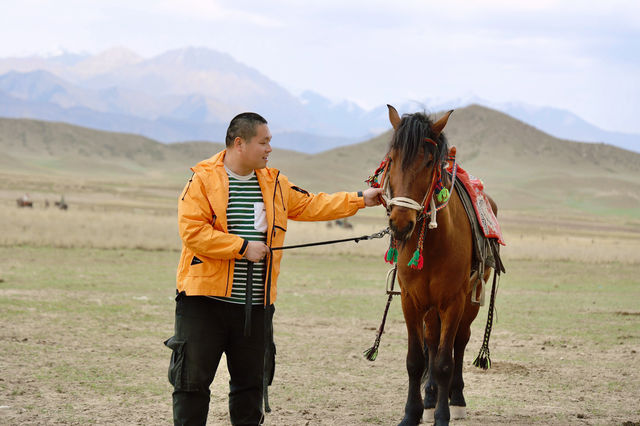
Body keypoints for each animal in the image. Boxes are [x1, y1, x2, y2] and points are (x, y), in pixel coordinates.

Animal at [380, 104, 500, 426]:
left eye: (428, 162)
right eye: (392, 159)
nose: (400, 224)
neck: (432, 245)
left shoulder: (453, 301)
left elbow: (446, 361)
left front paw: (443, 415)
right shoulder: (410, 300)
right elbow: (415, 360)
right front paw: (412, 413)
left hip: (470, 300)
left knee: (460, 341)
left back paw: (455, 398)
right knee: (432, 342)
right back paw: (432, 397)